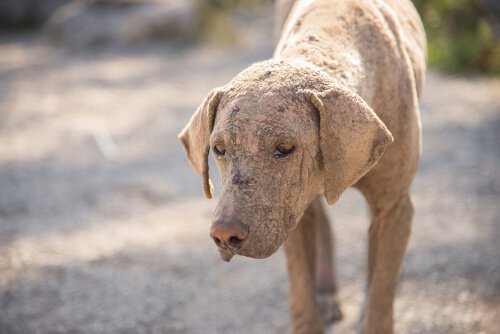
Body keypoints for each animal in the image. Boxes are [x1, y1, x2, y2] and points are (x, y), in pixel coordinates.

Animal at [180, 1, 426, 332]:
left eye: (285, 148)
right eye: (219, 149)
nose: (224, 235)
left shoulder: (395, 206)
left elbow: (381, 295)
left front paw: (371, 311)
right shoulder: (291, 215)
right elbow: (301, 295)